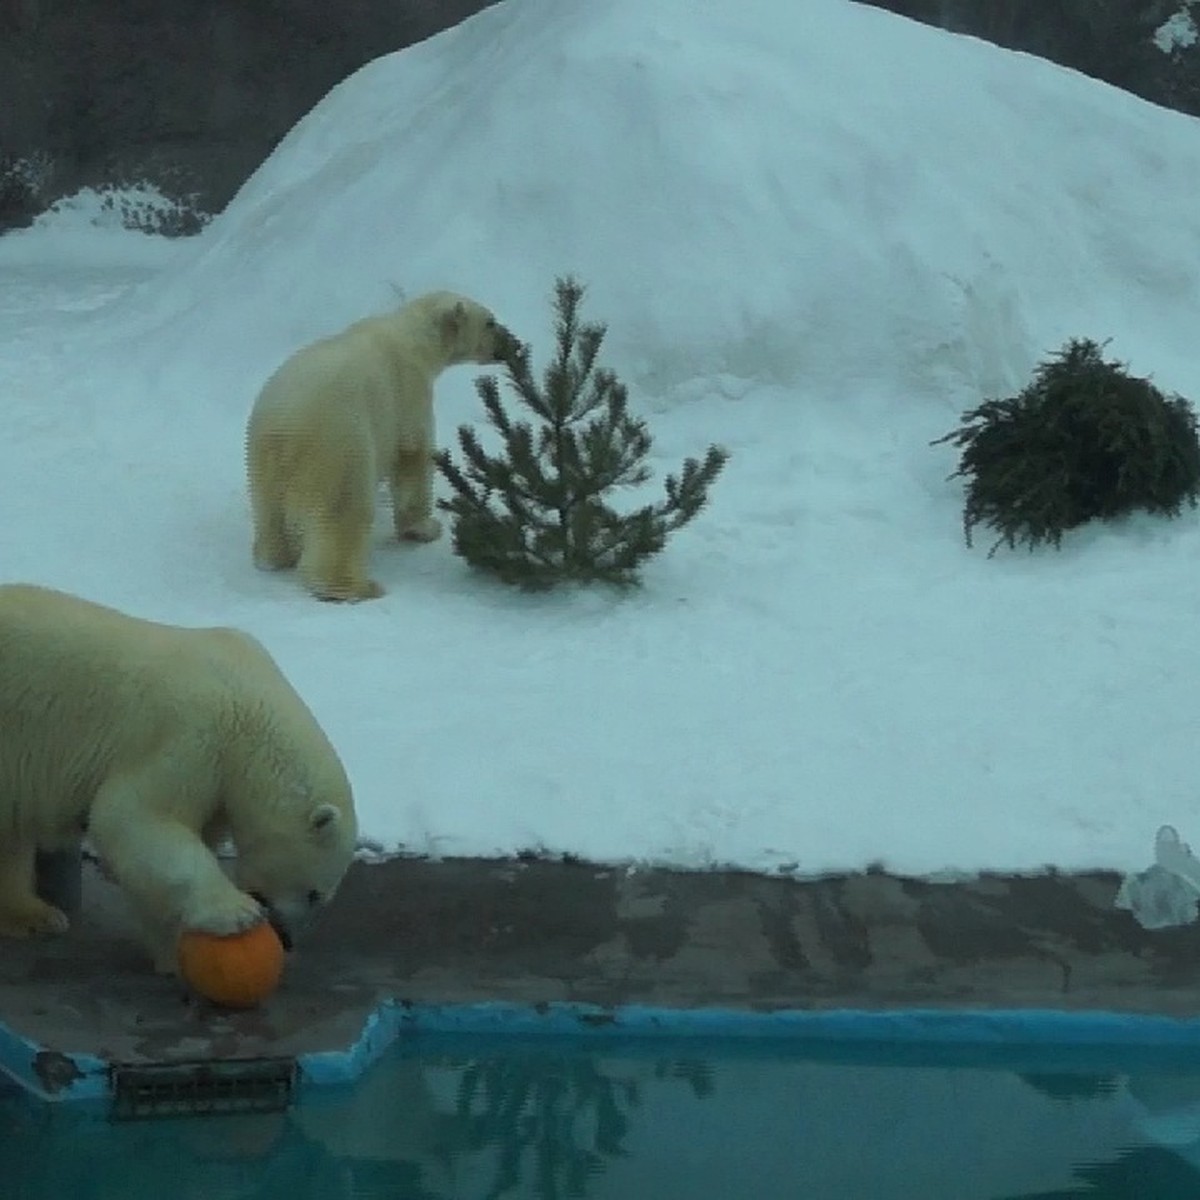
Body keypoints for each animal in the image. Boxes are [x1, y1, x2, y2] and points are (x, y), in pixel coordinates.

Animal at [0, 583, 357, 974]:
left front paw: (172, 950)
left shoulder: (217, 779)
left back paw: (33, 915)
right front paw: (237, 913)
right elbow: (135, 817)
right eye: (314, 893)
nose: (287, 938)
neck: (247, 702)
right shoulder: (191, 736)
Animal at [246, 289, 518, 604]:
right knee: (345, 511)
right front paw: (426, 528)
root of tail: (283, 430)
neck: (412, 334)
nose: (514, 343)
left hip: (260, 462)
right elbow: (413, 454)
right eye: (490, 322)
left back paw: (272, 557)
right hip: (339, 446)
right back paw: (355, 586)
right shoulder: (408, 390)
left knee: (269, 514)